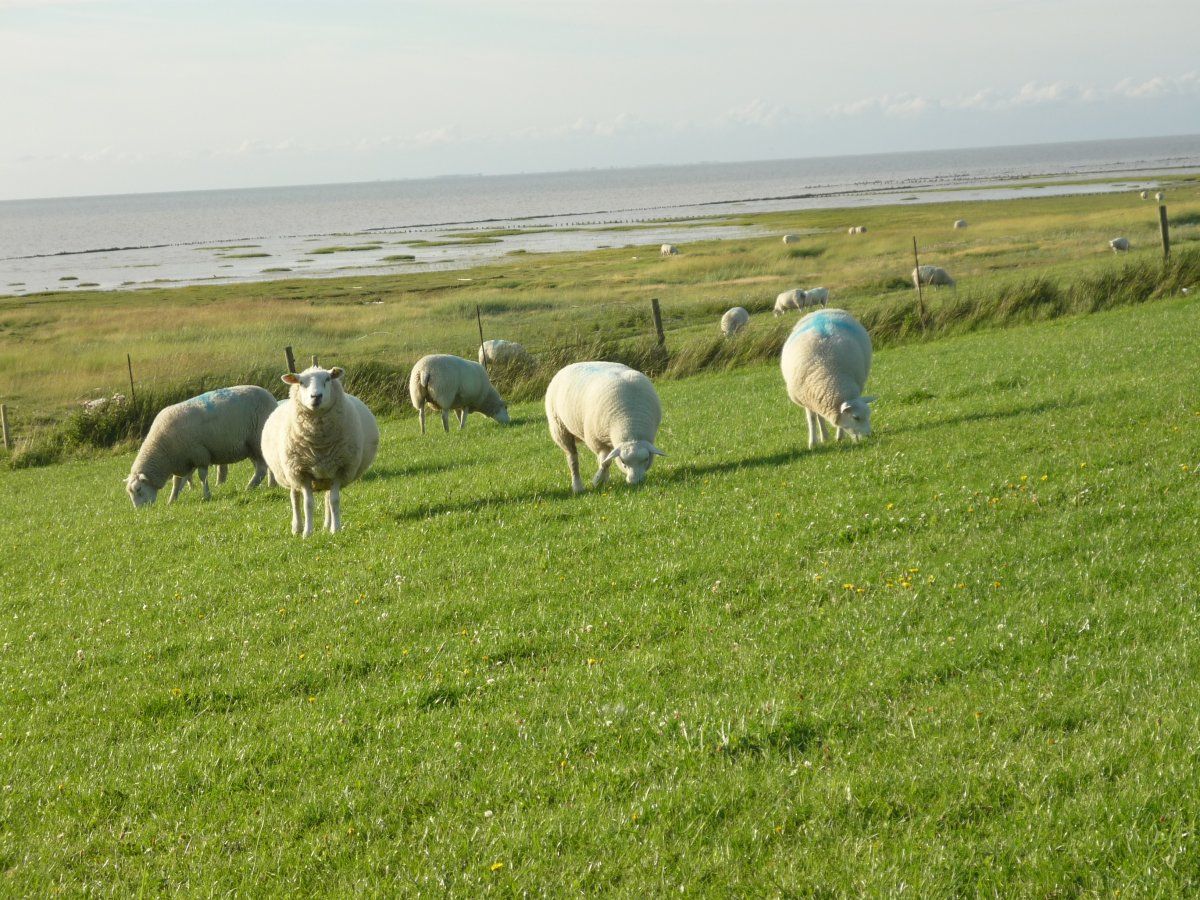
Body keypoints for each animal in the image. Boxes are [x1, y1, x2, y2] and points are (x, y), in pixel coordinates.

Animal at [124, 385, 277, 508]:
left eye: (138, 489)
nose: (139, 511)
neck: (162, 449)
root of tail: (271, 397)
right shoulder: (181, 461)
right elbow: (177, 482)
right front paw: (172, 500)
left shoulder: (200, 454)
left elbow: (202, 476)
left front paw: (206, 495)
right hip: (251, 446)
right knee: (266, 465)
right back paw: (271, 485)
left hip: (256, 441)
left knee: (262, 468)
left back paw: (250, 487)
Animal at [261, 366, 379, 537]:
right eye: (301, 382)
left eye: (328, 379)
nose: (316, 396)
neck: (320, 443)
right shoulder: (301, 473)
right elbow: (308, 503)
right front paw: (307, 533)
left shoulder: (339, 470)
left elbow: (334, 501)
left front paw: (336, 529)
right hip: (290, 474)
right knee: (295, 499)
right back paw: (297, 527)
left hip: (326, 475)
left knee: (327, 499)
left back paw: (326, 526)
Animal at [545, 361, 665, 494]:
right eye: (623, 462)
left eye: (646, 459)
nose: (635, 482)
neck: (630, 422)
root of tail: (571, 365)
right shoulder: (597, 442)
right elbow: (605, 462)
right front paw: (597, 480)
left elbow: (606, 460)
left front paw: (602, 479)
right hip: (560, 428)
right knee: (573, 459)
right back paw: (578, 486)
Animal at [780, 308, 875, 450]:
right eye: (856, 417)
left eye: (868, 415)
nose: (869, 436)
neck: (828, 376)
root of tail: (824, 309)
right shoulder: (807, 399)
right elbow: (812, 419)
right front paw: (812, 443)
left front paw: (840, 437)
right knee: (819, 416)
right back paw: (824, 437)